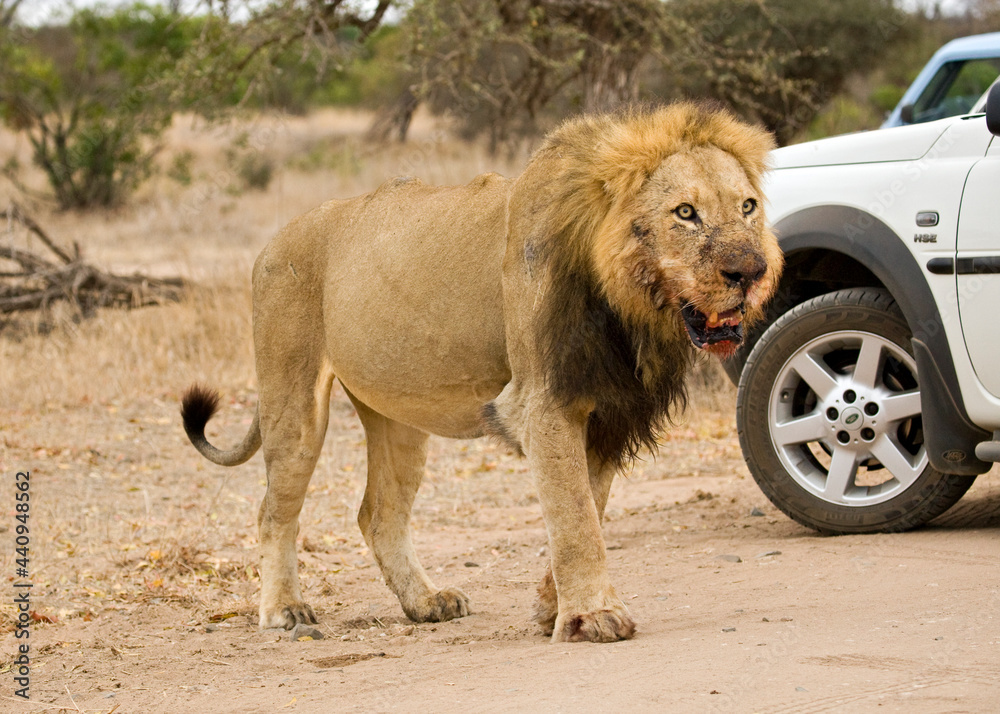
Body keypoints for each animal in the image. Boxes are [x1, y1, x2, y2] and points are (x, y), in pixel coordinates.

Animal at [181, 102, 782, 643]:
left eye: (748, 206)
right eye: (685, 213)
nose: (751, 271)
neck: (632, 308)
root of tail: (272, 242)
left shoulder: (610, 406)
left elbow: (589, 505)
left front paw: (553, 608)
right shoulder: (544, 401)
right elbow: (576, 518)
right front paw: (593, 617)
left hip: (397, 416)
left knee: (378, 513)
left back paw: (426, 603)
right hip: (294, 398)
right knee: (274, 509)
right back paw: (284, 611)